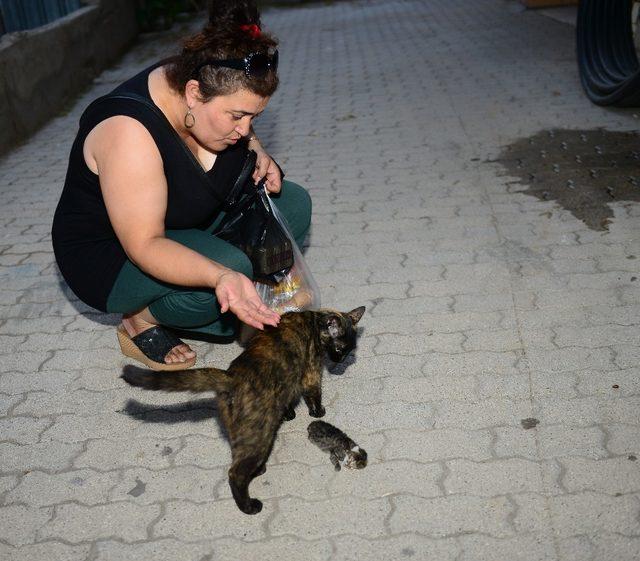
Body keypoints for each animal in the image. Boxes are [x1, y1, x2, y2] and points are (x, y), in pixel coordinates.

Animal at [121, 306, 364, 512]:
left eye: (350, 350)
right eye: (340, 348)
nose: (340, 360)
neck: (313, 320)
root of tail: (231, 377)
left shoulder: (287, 384)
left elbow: (287, 401)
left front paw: (289, 414)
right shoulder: (311, 374)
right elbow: (314, 395)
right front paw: (318, 412)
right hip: (259, 437)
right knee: (235, 473)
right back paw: (249, 505)